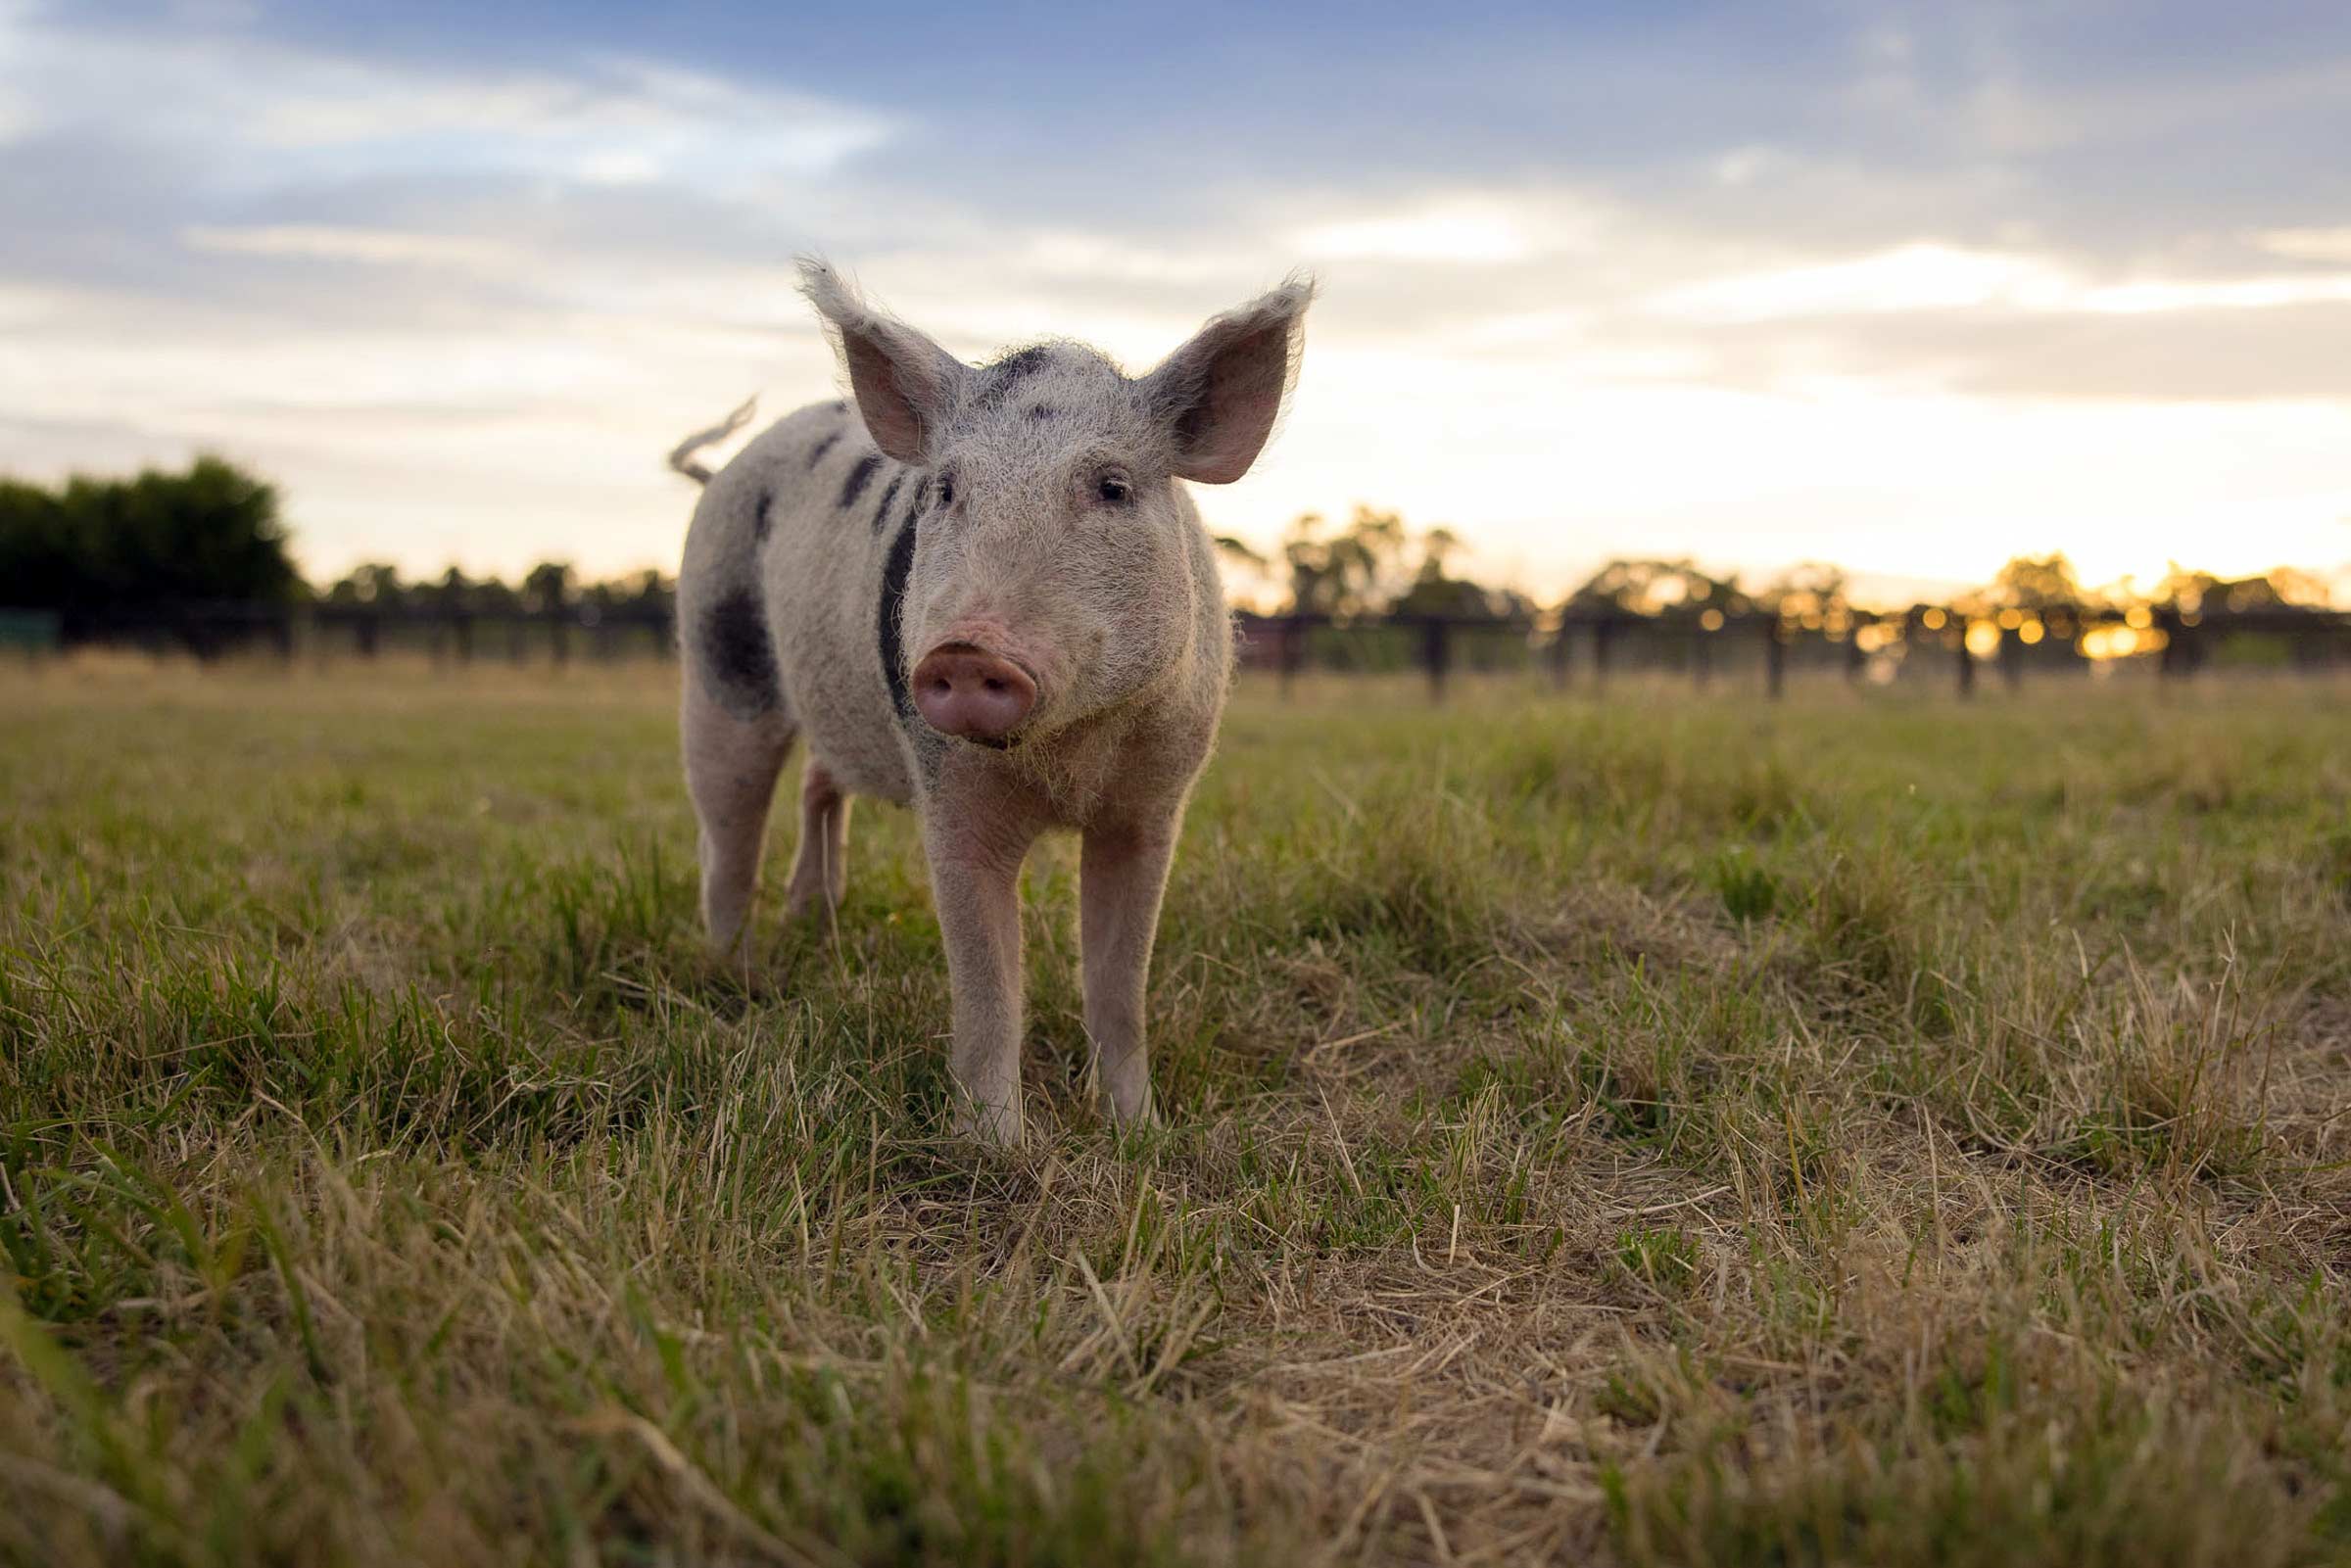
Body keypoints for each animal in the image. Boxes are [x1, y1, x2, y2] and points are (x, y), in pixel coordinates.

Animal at [672, 257, 1317, 1142]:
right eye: (946, 489)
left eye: (1112, 486)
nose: (968, 650)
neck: (1068, 760)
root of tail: (725, 470)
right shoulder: (949, 790)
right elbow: (987, 988)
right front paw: (997, 1148)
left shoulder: (1155, 802)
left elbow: (1120, 985)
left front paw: (1139, 1132)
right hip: (718, 660)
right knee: (725, 838)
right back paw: (740, 982)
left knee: (816, 784)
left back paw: (812, 927)